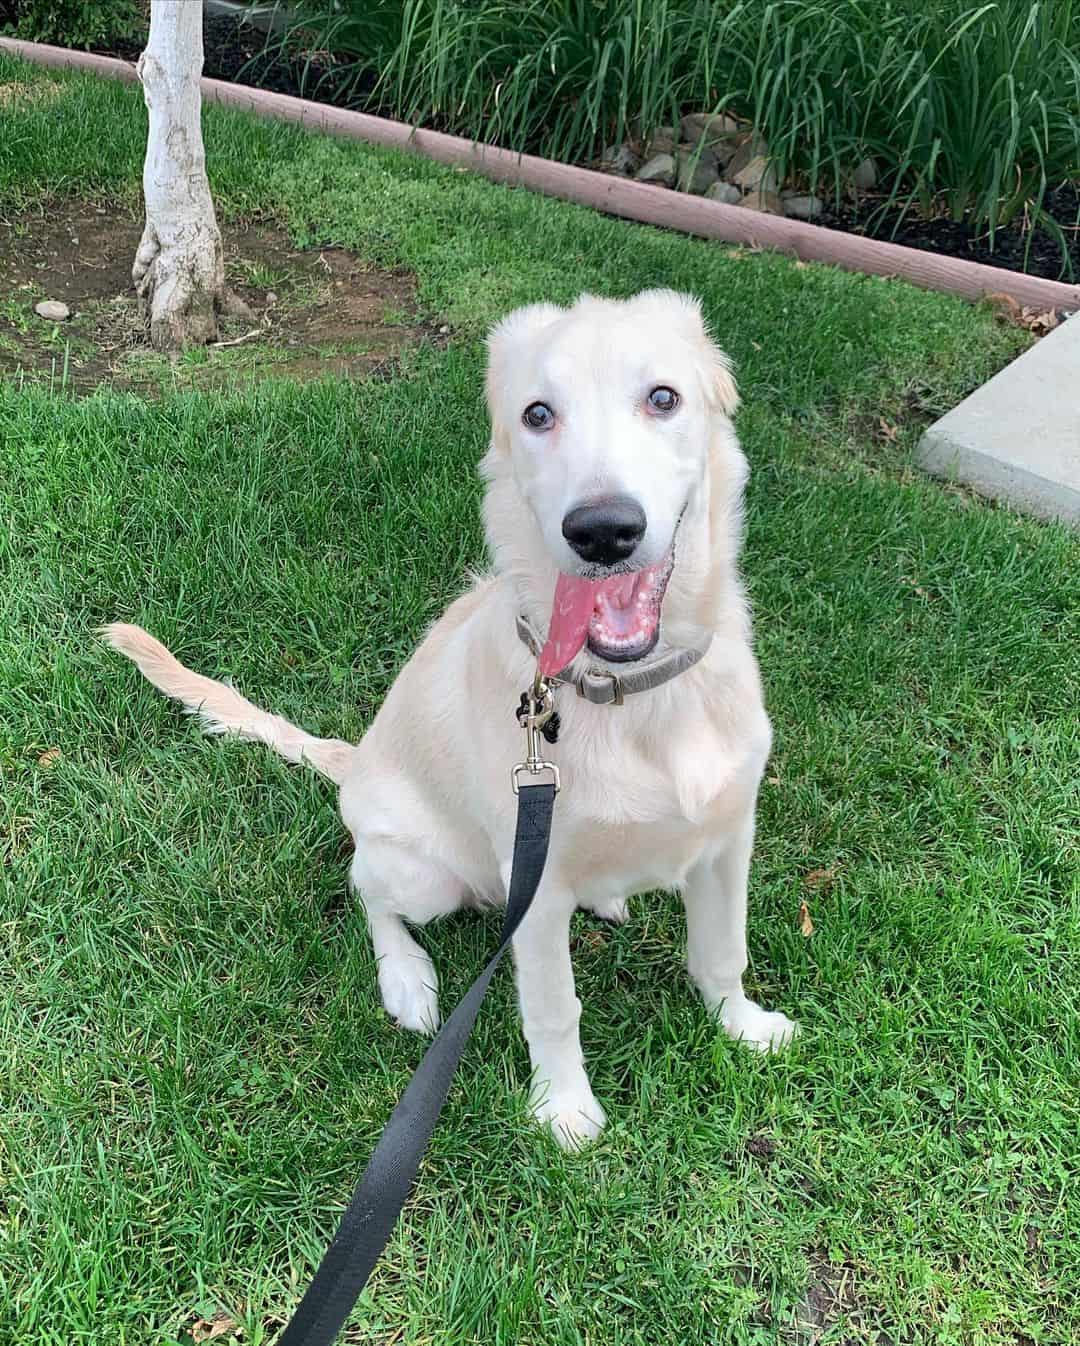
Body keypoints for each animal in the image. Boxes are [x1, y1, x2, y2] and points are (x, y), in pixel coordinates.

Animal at [105, 292, 797, 1146]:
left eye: (663, 398)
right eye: (538, 414)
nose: (602, 531)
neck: (637, 699)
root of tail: (356, 759)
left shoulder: (729, 836)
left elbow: (722, 951)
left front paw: (743, 1027)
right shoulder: (537, 889)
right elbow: (553, 1009)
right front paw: (564, 1108)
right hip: (424, 872)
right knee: (367, 889)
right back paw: (407, 979)